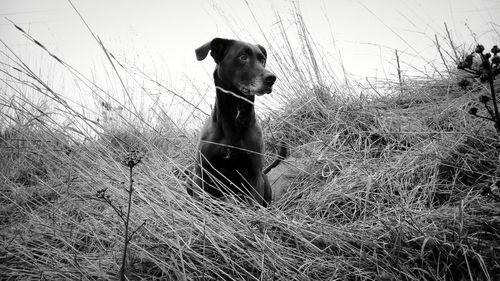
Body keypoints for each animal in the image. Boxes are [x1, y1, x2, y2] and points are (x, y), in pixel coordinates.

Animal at [189, 37, 282, 206]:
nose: (271, 78)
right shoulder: (201, 175)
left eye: (262, 60)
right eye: (243, 57)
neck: (235, 117)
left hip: (264, 179)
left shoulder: (254, 176)